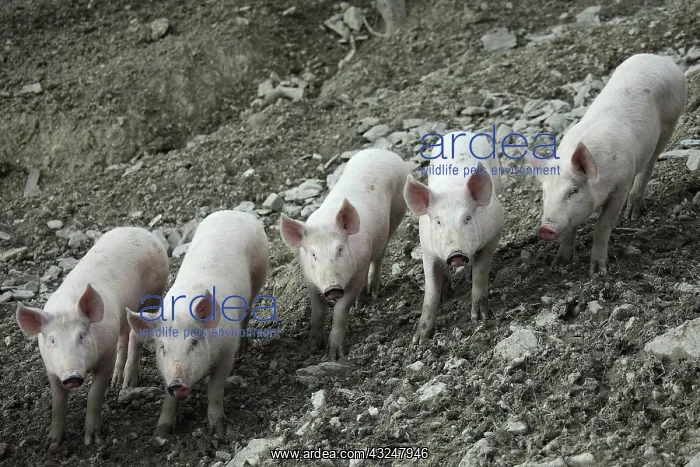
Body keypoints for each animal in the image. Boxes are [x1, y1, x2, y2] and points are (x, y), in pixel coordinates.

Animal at [15, 227, 169, 451]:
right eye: (52, 340)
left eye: (82, 335)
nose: (72, 376)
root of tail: (140, 231)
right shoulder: (51, 368)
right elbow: (58, 401)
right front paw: (51, 446)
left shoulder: (105, 357)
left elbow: (94, 395)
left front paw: (93, 441)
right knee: (124, 335)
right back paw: (117, 383)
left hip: (152, 296)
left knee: (136, 336)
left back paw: (127, 385)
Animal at [126, 210, 269, 436]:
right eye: (162, 348)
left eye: (193, 343)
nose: (177, 383)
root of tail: (235, 212)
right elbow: (168, 398)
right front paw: (161, 432)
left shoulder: (226, 351)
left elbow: (215, 388)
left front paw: (217, 429)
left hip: (259, 274)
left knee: (248, 313)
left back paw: (243, 351)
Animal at [279, 148, 409, 359]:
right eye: (313, 255)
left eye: (340, 249)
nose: (333, 288)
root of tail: (381, 151)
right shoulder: (309, 279)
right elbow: (317, 310)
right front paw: (313, 348)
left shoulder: (356, 274)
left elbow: (341, 310)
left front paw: (335, 355)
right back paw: (361, 302)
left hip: (396, 213)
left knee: (379, 255)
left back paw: (372, 294)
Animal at [403, 131, 504, 343]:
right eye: (438, 221)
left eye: (467, 217)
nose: (456, 254)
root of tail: (459, 132)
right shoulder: (427, 251)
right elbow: (430, 293)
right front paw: (419, 339)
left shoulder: (492, 237)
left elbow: (481, 274)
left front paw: (481, 318)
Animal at [526, 53, 687, 275]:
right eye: (544, 193)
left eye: (573, 191)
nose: (546, 228)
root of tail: (661, 59)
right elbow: (570, 228)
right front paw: (559, 265)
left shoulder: (621, 185)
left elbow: (602, 225)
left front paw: (598, 271)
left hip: (670, 121)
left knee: (650, 163)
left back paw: (633, 215)